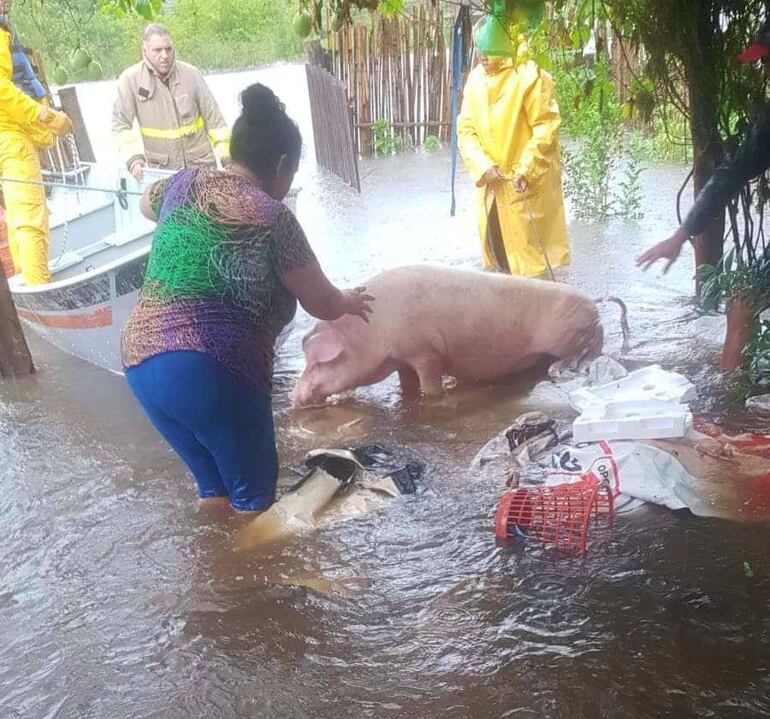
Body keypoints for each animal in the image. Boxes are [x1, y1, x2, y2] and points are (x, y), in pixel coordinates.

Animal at [292, 266, 604, 410]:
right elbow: (406, 385)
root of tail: (594, 307)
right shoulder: (404, 360)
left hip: (572, 335)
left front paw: (432, 397)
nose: (292, 395)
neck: (372, 333)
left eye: (317, 364)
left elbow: (430, 386)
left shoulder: (426, 353)